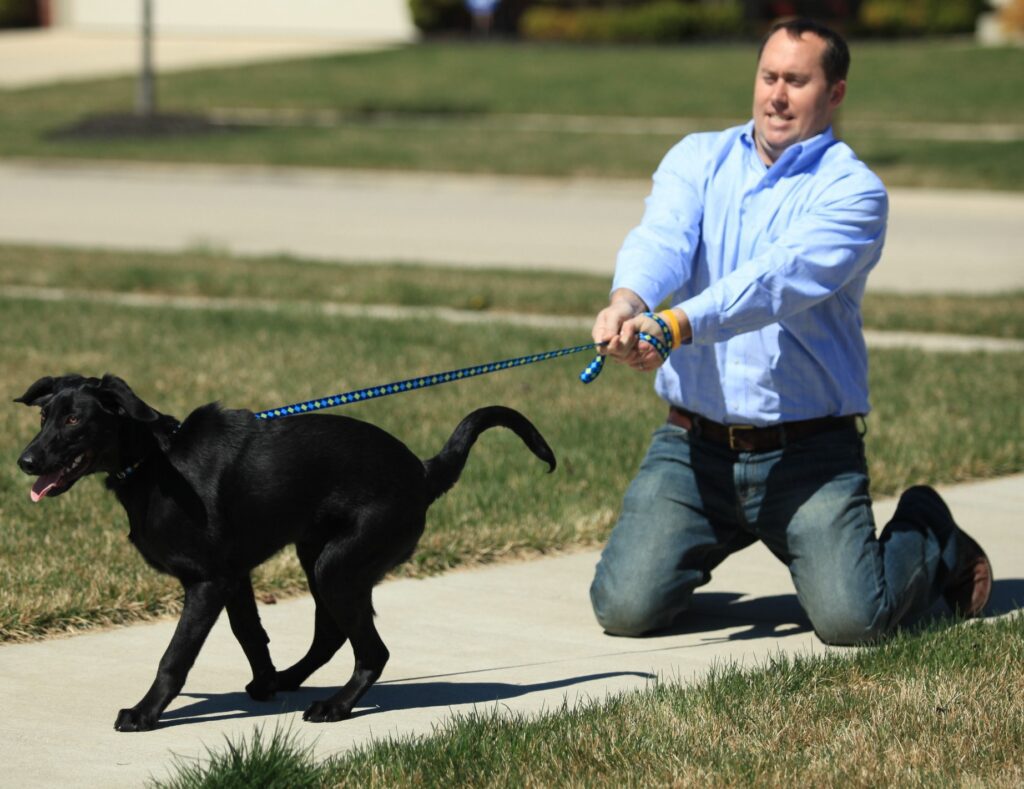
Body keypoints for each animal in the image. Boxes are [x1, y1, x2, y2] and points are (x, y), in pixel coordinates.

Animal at [16, 372, 557, 732]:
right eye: (44, 416)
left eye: (73, 418)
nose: (25, 461)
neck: (156, 461)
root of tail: (424, 473)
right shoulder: (233, 576)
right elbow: (250, 634)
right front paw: (266, 681)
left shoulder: (207, 582)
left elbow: (175, 656)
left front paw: (146, 712)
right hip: (319, 558)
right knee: (331, 637)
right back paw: (291, 680)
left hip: (338, 565)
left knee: (372, 651)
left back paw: (336, 707)